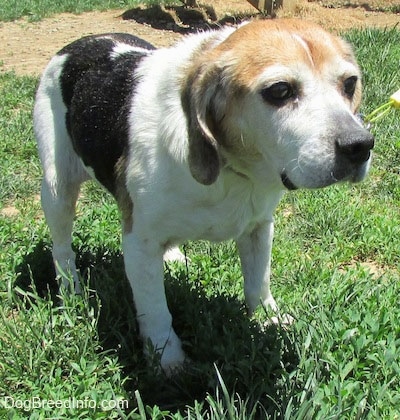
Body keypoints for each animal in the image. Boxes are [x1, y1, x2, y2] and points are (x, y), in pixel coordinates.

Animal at [32, 19, 374, 372]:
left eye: (349, 84)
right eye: (280, 91)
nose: (360, 145)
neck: (229, 168)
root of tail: (81, 42)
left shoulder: (259, 226)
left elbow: (258, 283)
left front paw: (268, 320)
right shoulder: (139, 241)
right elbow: (155, 308)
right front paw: (167, 358)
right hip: (57, 188)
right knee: (62, 248)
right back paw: (71, 291)